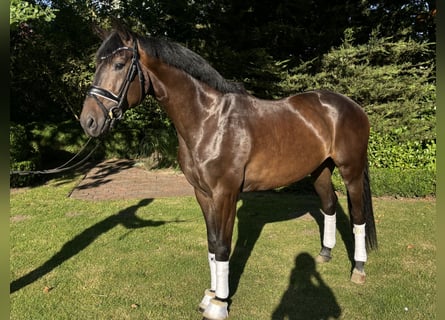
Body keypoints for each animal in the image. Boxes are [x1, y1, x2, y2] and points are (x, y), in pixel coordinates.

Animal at [79, 26, 374, 318]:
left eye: (119, 64)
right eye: (97, 64)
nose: (88, 121)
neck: (209, 120)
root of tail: (352, 106)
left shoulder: (226, 194)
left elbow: (222, 246)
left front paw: (220, 303)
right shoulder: (203, 194)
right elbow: (212, 243)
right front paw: (209, 296)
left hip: (351, 170)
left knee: (358, 217)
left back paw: (359, 269)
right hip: (320, 170)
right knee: (329, 205)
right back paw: (325, 253)